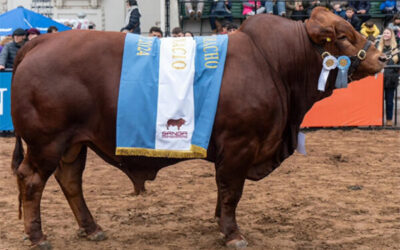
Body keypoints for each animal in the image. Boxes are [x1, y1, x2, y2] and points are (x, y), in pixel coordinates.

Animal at [10, 7, 384, 248]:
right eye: (343, 36)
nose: (382, 58)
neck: (274, 63)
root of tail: (39, 42)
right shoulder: (240, 144)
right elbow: (232, 191)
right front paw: (233, 233)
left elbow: (223, 190)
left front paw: (219, 223)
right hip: (47, 142)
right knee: (32, 181)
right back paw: (38, 236)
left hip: (73, 144)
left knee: (70, 181)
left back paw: (92, 228)